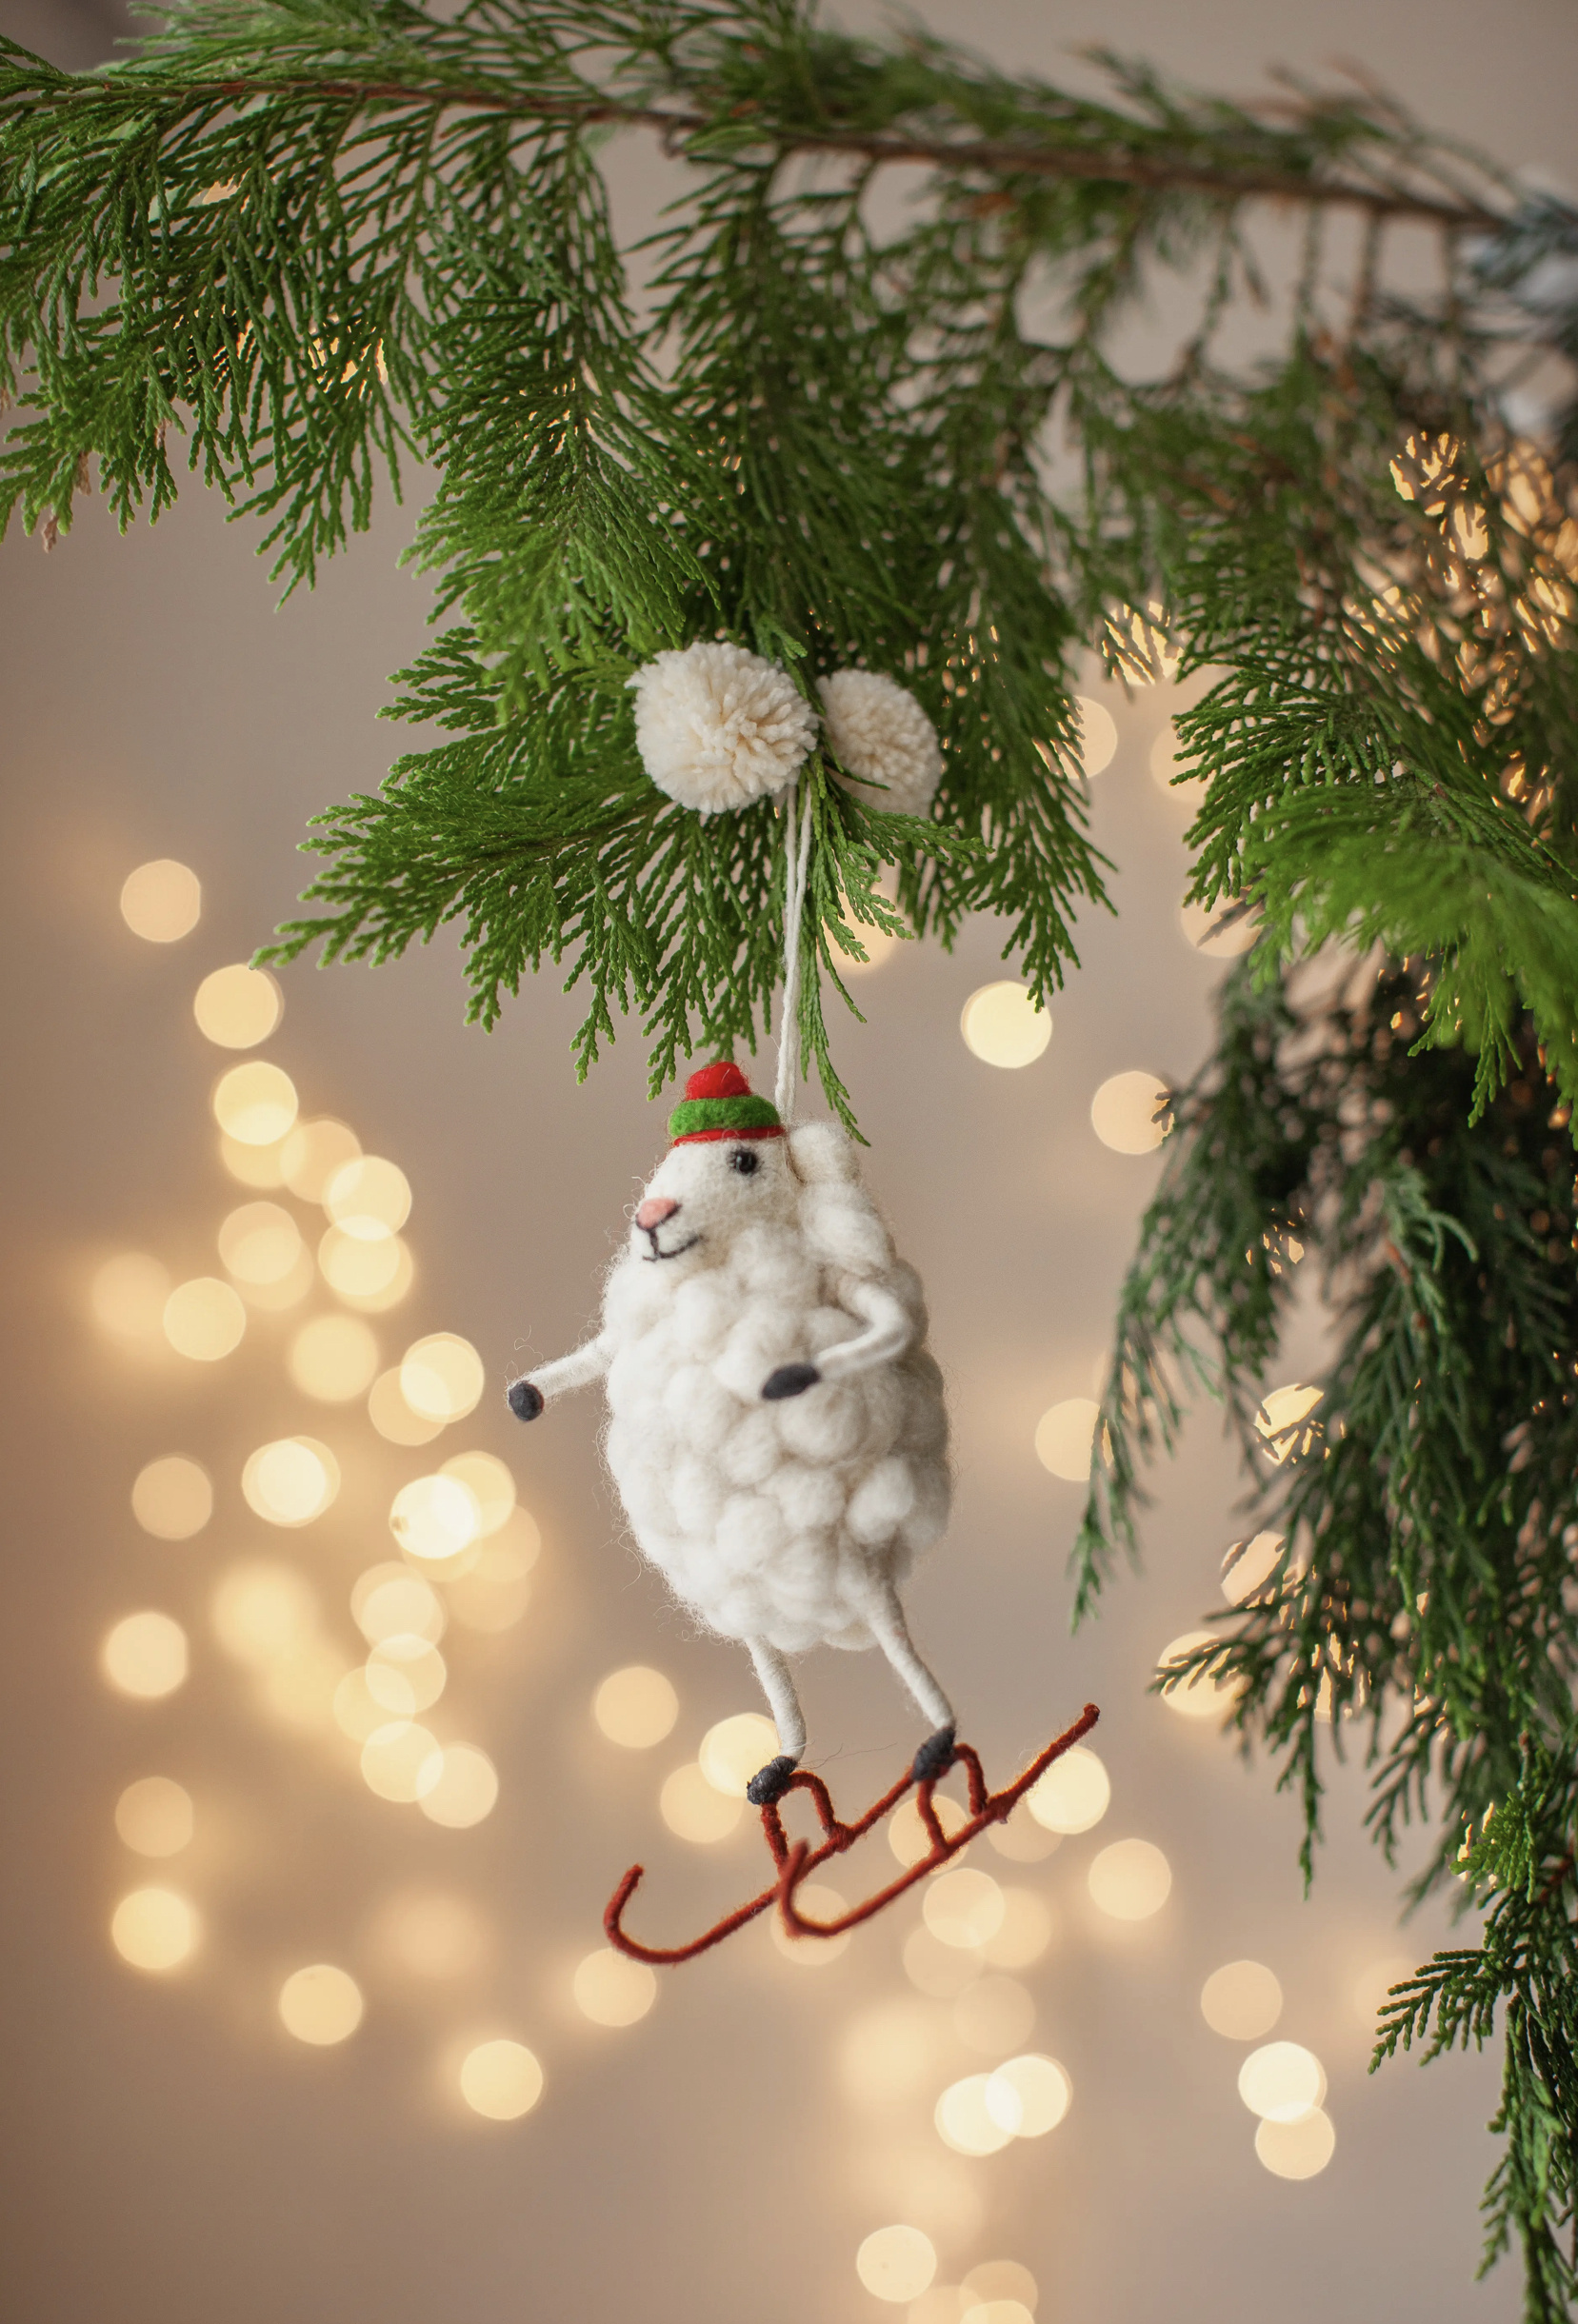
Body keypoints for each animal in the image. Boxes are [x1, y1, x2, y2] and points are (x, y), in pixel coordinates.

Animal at [507, 1064, 957, 1805]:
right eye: (666, 1165)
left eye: (743, 1162)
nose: (651, 1218)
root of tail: (821, 1615)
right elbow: (592, 1355)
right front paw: (525, 1395)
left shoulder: (847, 1280)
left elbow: (887, 1324)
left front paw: (788, 1377)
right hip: (732, 1579)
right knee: (768, 1661)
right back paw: (779, 1765)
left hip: (847, 1551)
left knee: (892, 1632)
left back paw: (938, 1740)